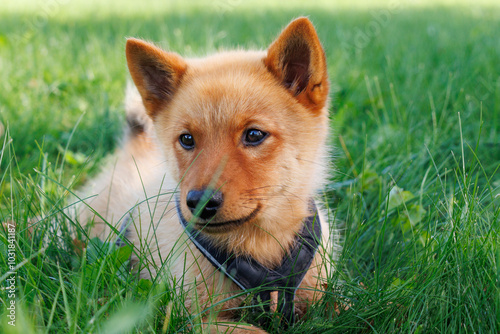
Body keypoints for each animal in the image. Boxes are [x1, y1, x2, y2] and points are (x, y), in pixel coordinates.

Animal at [78, 17, 334, 332]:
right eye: (187, 139)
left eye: (254, 135)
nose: (200, 202)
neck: (259, 247)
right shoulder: (191, 318)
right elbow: (256, 330)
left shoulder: (327, 295)